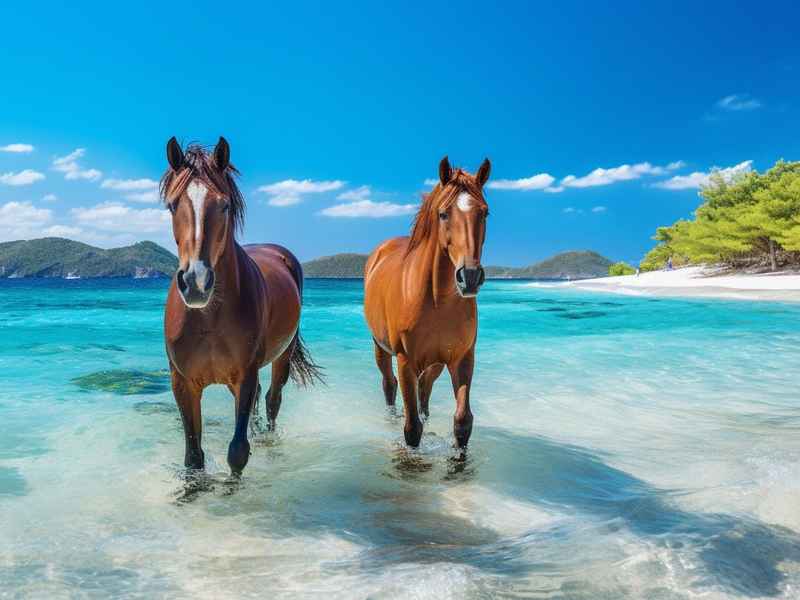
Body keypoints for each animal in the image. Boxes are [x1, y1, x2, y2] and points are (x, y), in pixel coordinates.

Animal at [161, 136, 321, 475]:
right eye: (172, 205)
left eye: (224, 204)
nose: (196, 281)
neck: (207, 318)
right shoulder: (183, 384)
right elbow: (194, 457)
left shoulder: (244, 377)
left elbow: (237, 451)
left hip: (282, 357)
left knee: (272, 399)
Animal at [363, 156, 491, 450]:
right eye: (443, 214)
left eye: (485, 213)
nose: (469, 276)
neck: (437, 301)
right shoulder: (405, 360)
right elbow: (412, 429)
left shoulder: (462, 358)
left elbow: (463, 422)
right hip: (380, 348)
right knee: (389, 385)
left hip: (435, 363)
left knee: (425, 390)